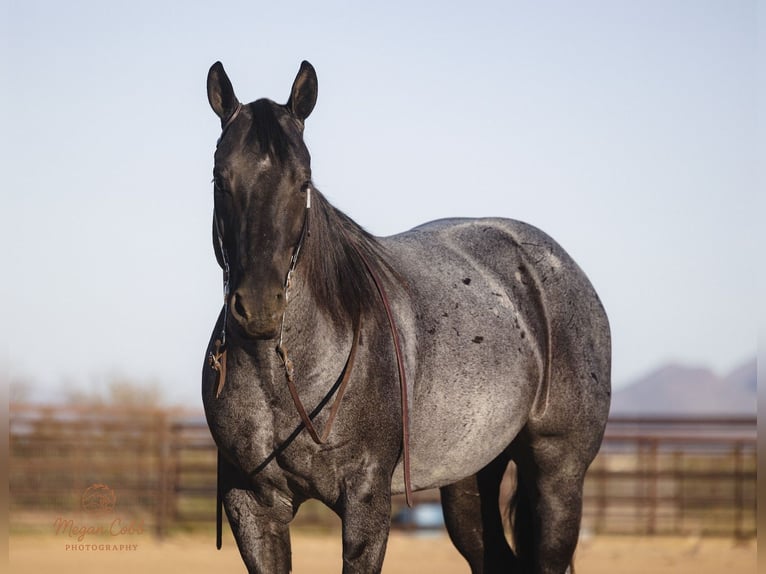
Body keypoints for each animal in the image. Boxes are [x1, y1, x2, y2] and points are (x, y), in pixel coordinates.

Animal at [202, 60, 611, 574]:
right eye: (220, 178)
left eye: (303, 181)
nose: (259, 307)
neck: (289, 378)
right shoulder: (252, 506)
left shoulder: (366, 501)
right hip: (469, 478)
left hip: (558, 475)